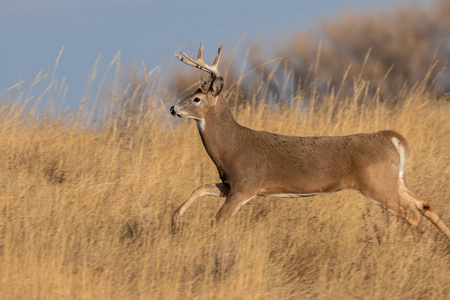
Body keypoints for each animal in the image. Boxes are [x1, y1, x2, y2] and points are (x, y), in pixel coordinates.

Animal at [170, 43, 450, 243]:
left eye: (196, 99)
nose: (172, 108)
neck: (231, 147)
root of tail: (391, 138)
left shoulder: (246, 183)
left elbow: (215, 222)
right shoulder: (230, 184)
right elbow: (199, 188)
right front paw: (175, 219)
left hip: (377, 183)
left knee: (412, 215)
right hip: (395, 179)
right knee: (424, 204)